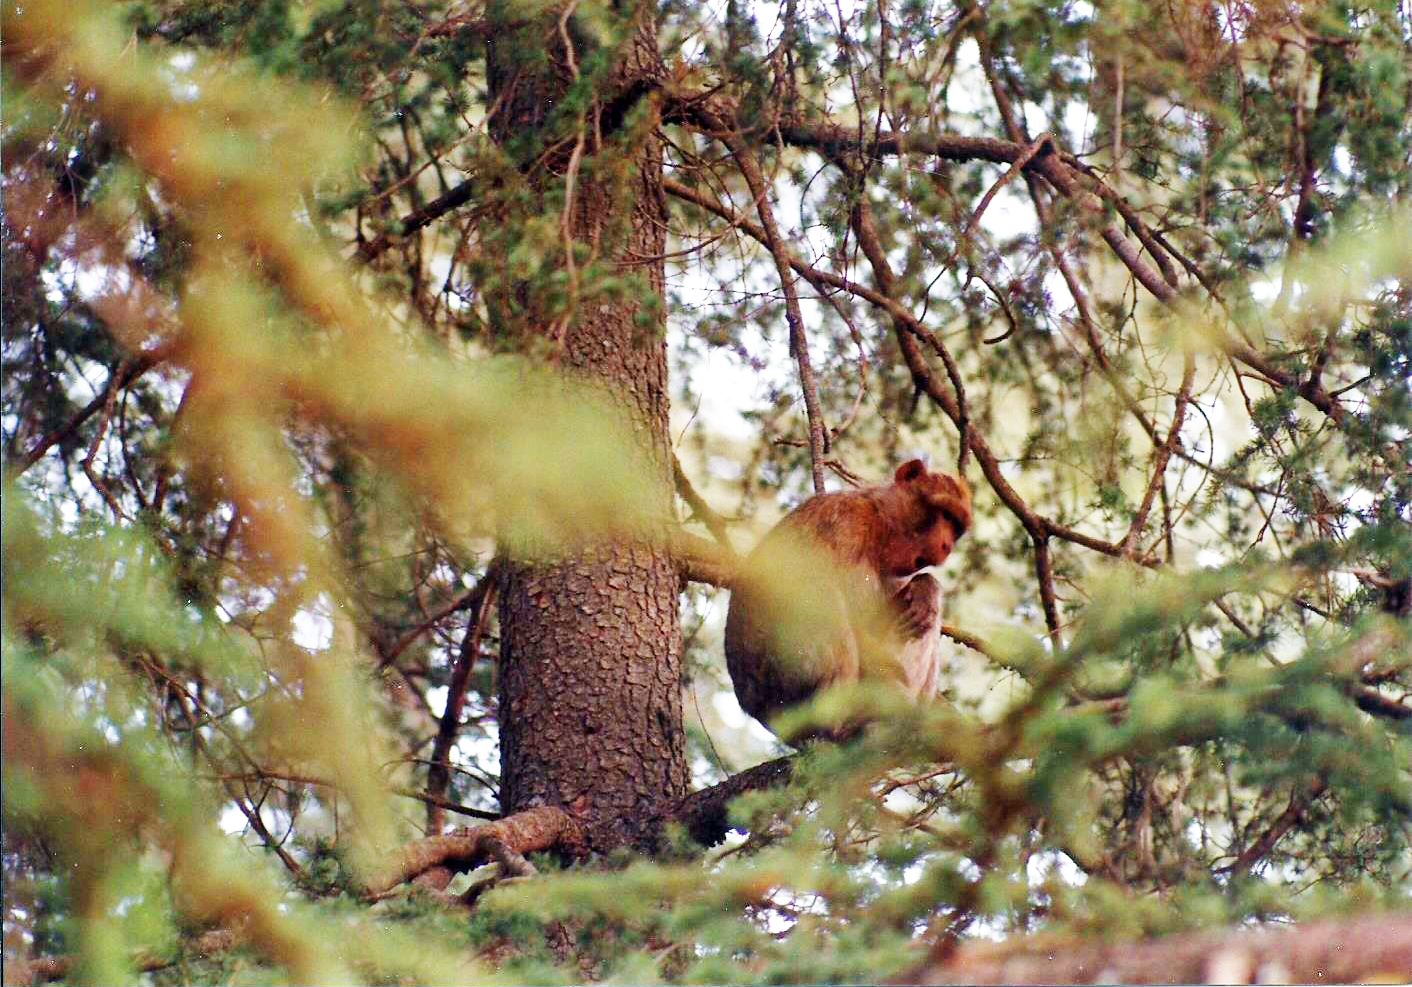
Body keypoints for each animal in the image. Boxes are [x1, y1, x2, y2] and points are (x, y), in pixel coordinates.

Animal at [728, 460, 971, 739]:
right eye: (945, 514)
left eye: (956, 528)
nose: (947, 547)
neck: (880, 523)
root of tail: (754, 708)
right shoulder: (846, 524)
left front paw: (927, 589)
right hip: (786, 676)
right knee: (821, 593)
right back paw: (838, 724)